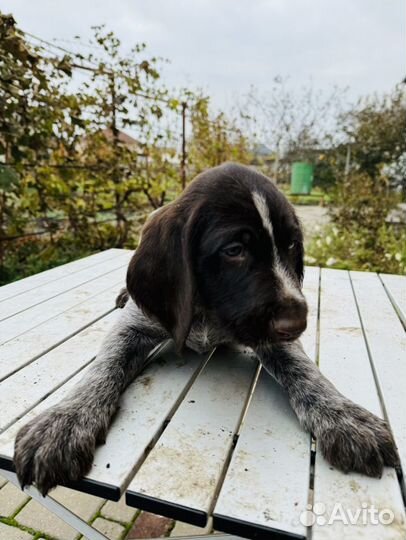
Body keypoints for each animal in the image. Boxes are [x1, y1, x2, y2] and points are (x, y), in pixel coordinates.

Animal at [14, 162, 398, 496]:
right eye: (235, 250)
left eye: (291, 245)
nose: (298, 323)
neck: (207, 311)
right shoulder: (134, 327)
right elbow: (102, 368)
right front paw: (65, 421)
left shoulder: (272, 337)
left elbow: (306, 372)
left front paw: (343, 416)